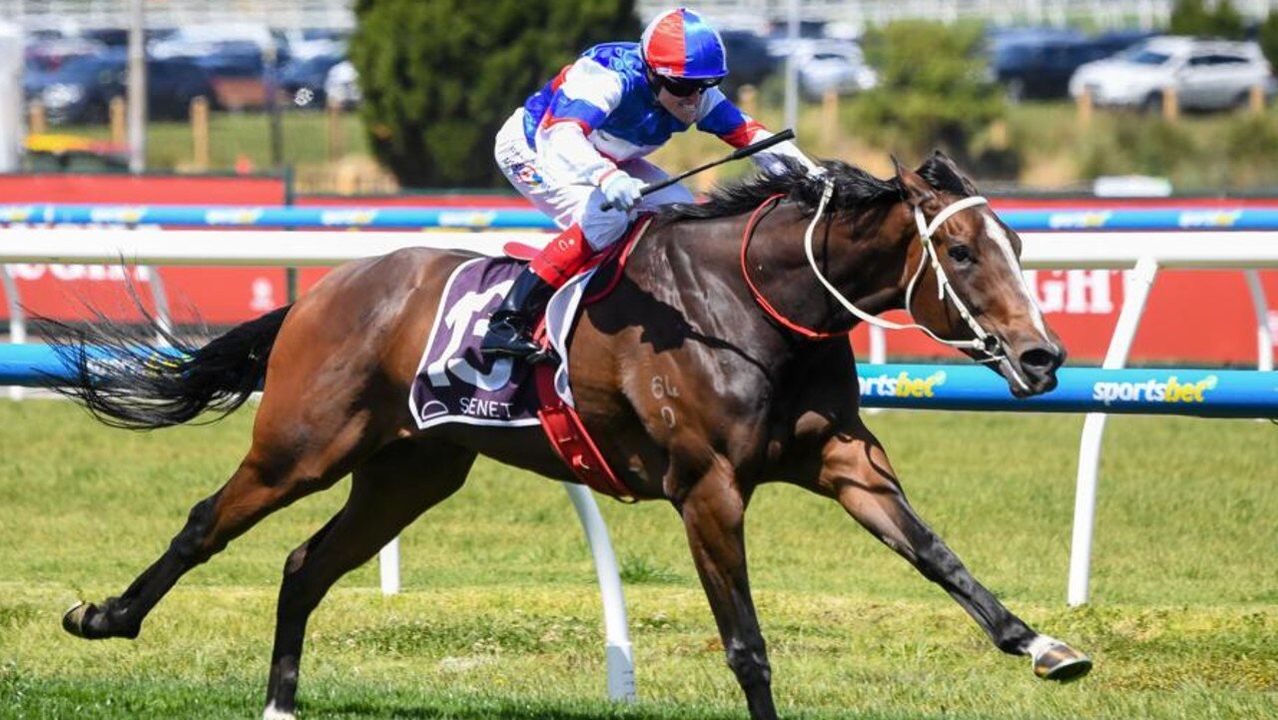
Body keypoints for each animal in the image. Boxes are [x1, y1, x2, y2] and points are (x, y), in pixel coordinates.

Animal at [52, 152, 1089, 720]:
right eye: (961, 253)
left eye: (1020, 248)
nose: (1043, 358)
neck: (756, 302)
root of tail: (325, 289)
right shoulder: (707, 488)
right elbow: (746, 643)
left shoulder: (844, 462)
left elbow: (940, 559)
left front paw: (1044, 646)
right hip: (303, 446)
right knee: (204, 523)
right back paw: (105, 617)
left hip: (413, 471)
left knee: (307, 564)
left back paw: (278, 702)